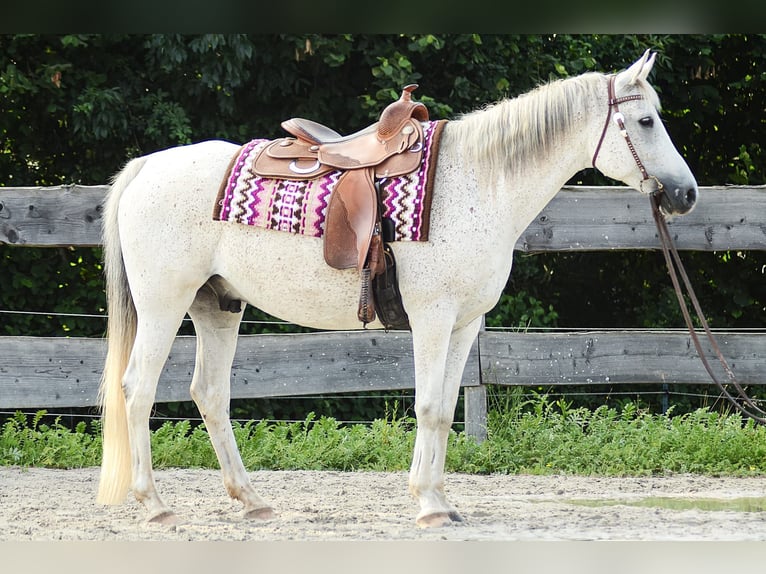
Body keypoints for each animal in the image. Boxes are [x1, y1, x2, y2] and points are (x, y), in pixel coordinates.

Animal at [97, 51, 704, 528]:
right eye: (646, 120)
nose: (686, 194)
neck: (478, 184)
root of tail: (146, 167)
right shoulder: (433, 317)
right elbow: (430, 405)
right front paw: (429, 507)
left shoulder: (464, 324)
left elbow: (446, 408)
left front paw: (438, 498)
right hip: (164, 305)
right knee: (137, 388)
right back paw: (155, 505)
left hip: (217, 307)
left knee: (209, 393)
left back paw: (252, 500)